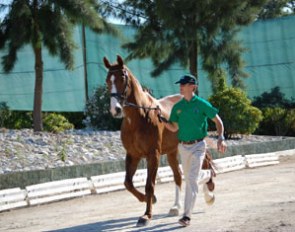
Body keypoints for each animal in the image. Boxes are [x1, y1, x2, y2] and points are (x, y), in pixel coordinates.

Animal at [103, 54, 183, 227]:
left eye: (122, 78)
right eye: (107, 80)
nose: (115, 109)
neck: (139, 117)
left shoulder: (153, 155)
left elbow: (149, 185)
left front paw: (146, 215)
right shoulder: (133, 155)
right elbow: (128, 183)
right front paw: (148, 199)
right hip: (172, 152)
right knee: (178, 176)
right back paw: (176, 207)